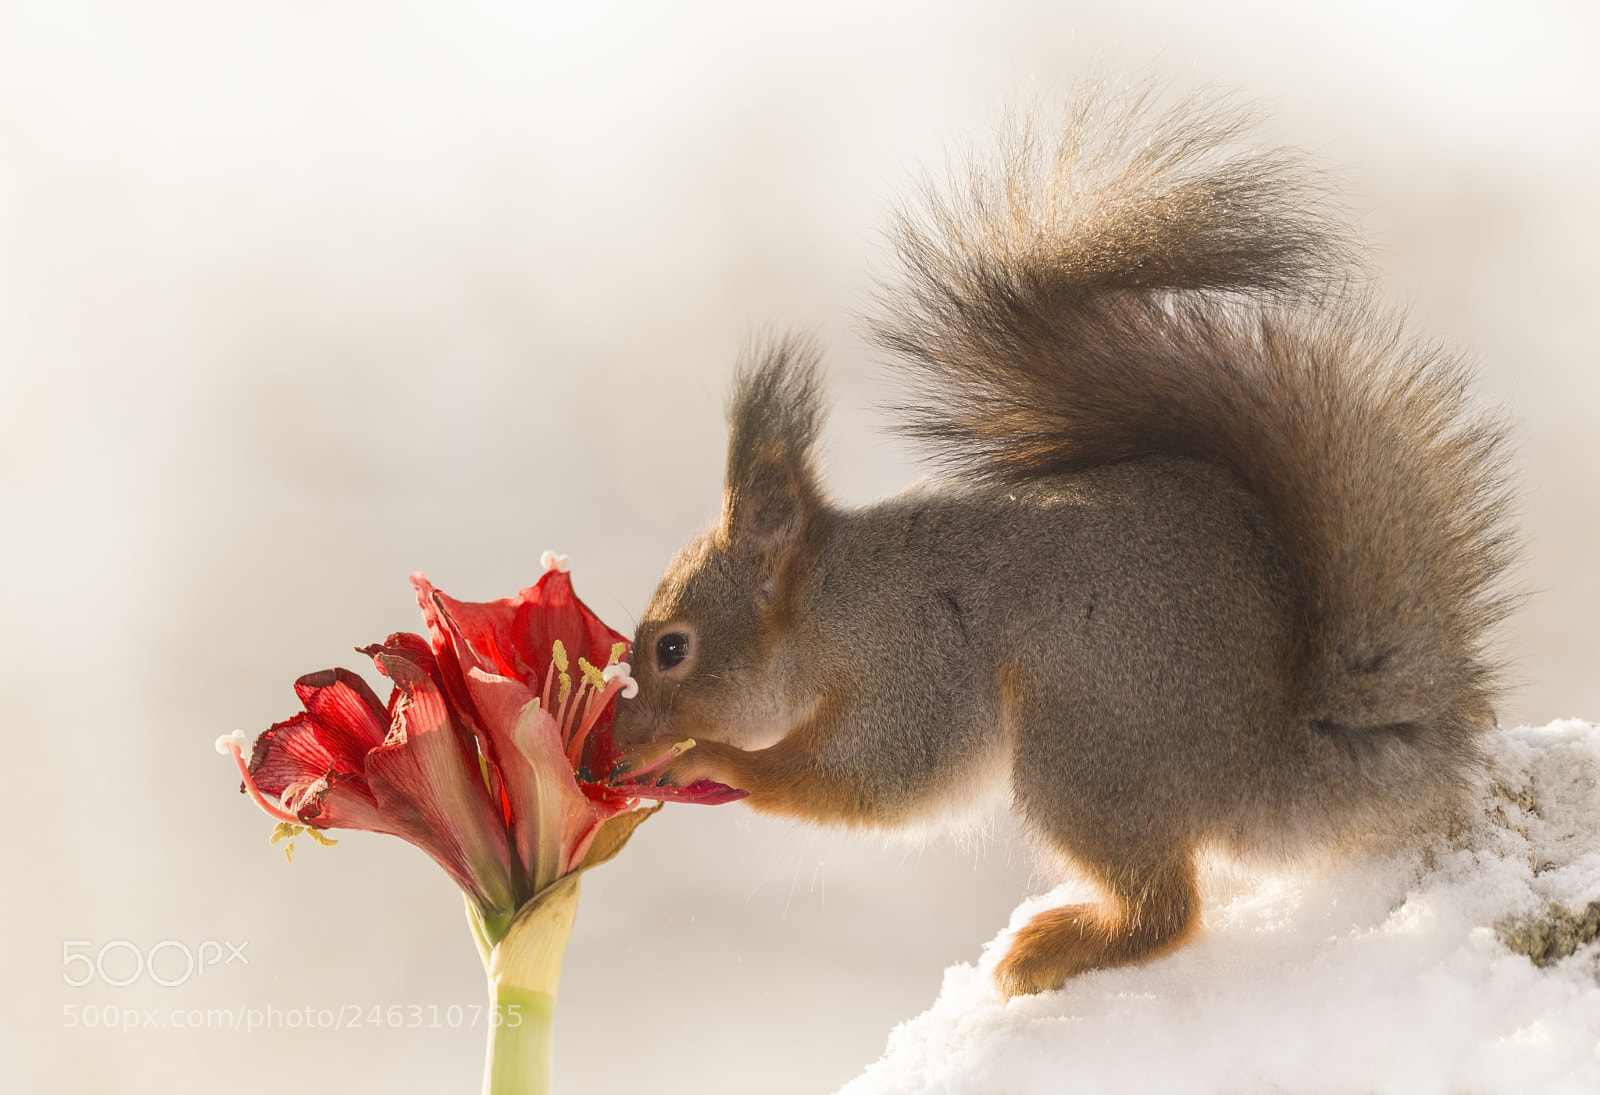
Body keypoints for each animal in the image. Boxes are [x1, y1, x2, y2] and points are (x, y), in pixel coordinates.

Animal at [610, 88, 1516, 998]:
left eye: (672, 649)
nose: (617, 741)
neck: (836, 602)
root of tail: (1268, 756)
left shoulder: (918, 659)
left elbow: (878, 776)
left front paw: (715, 759)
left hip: (1082, 735)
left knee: (1167, 910)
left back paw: (1055, 947)